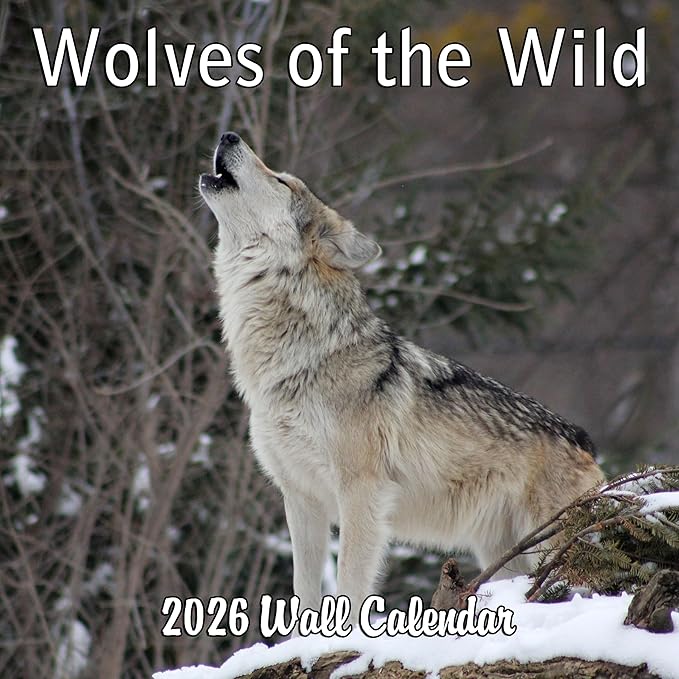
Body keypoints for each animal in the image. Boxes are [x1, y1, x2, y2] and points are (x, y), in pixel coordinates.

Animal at [199, 132, 605, 619]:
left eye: (281, 180)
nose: (229, 135)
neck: (299, 359)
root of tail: (584, 441)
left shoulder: (362, 494)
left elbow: (350, 587)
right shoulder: (301, 499)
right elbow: (303, 593)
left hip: (548, 549)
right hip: (503, 556)